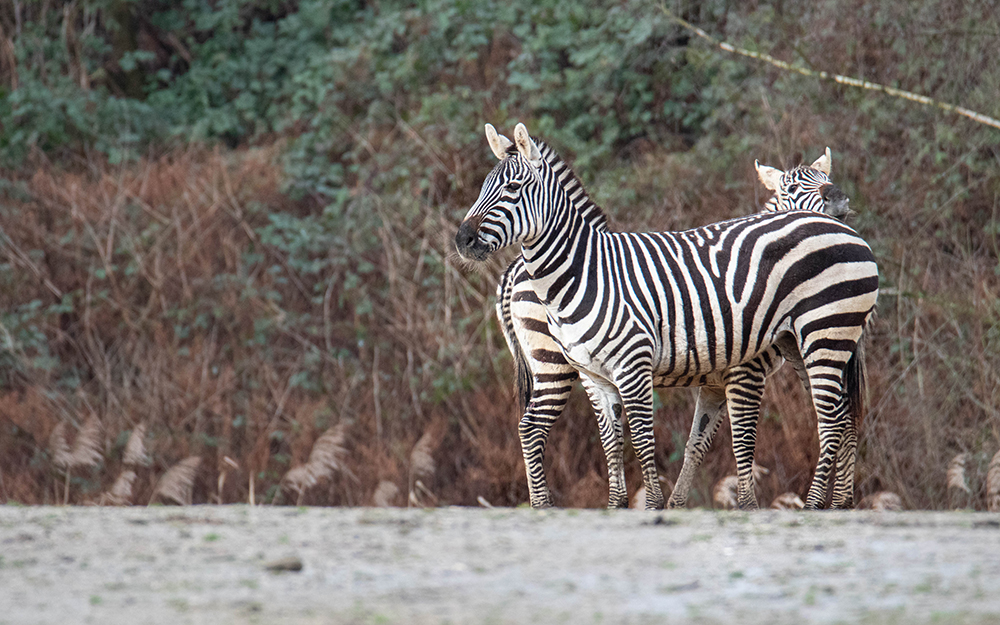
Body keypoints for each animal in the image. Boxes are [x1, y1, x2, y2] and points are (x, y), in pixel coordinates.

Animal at [458, 124, 880, 510]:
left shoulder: (662, 368)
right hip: (813, 343)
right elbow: (647, 441)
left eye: (513, 188)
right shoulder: (604, 375)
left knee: (835, 417)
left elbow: (680, 440)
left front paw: (664, 507)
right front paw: (638, 507)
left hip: (825, 333)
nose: (463, 239)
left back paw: (818, 506)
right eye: (484, 188)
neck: (587, 271)